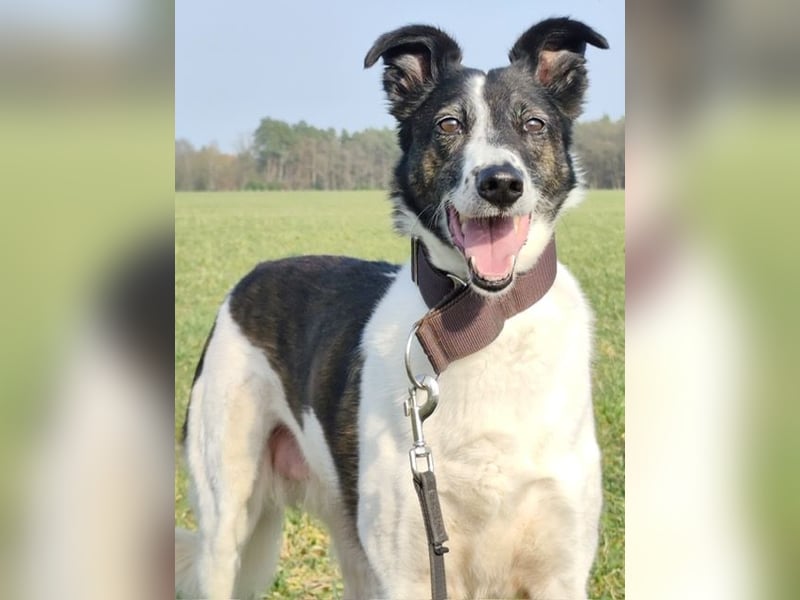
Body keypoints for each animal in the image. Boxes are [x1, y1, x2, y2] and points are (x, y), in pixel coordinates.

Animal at [176, 17, 609, 600]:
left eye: (534, 124)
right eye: (449, 124)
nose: (500, 183)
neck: (480, 322)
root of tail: (251, 275)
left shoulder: (559, 573)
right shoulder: (412, 567)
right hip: (227, 516)